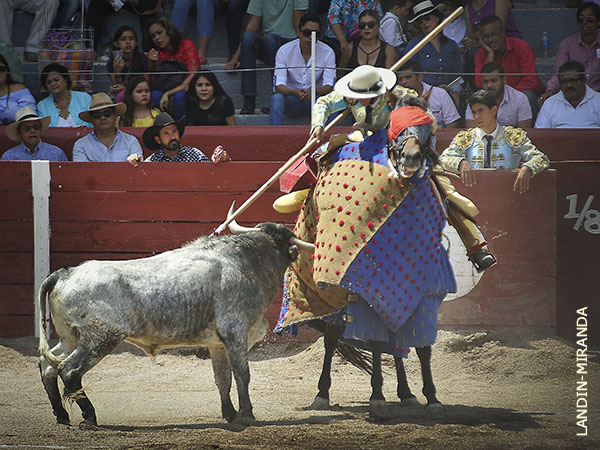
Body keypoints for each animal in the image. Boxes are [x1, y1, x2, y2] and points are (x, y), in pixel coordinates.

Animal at [37, 206, 314, 428]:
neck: (247, 261)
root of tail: (66, 273)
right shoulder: (235, 332)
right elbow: (242, 374)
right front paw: (247, 414)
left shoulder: (217, 343)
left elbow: (222, 379)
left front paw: (230, 414)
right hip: (100, 339)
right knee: (69, 370)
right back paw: (89, 417)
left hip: (70, 338)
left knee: (48, 366)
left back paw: (62, 416)